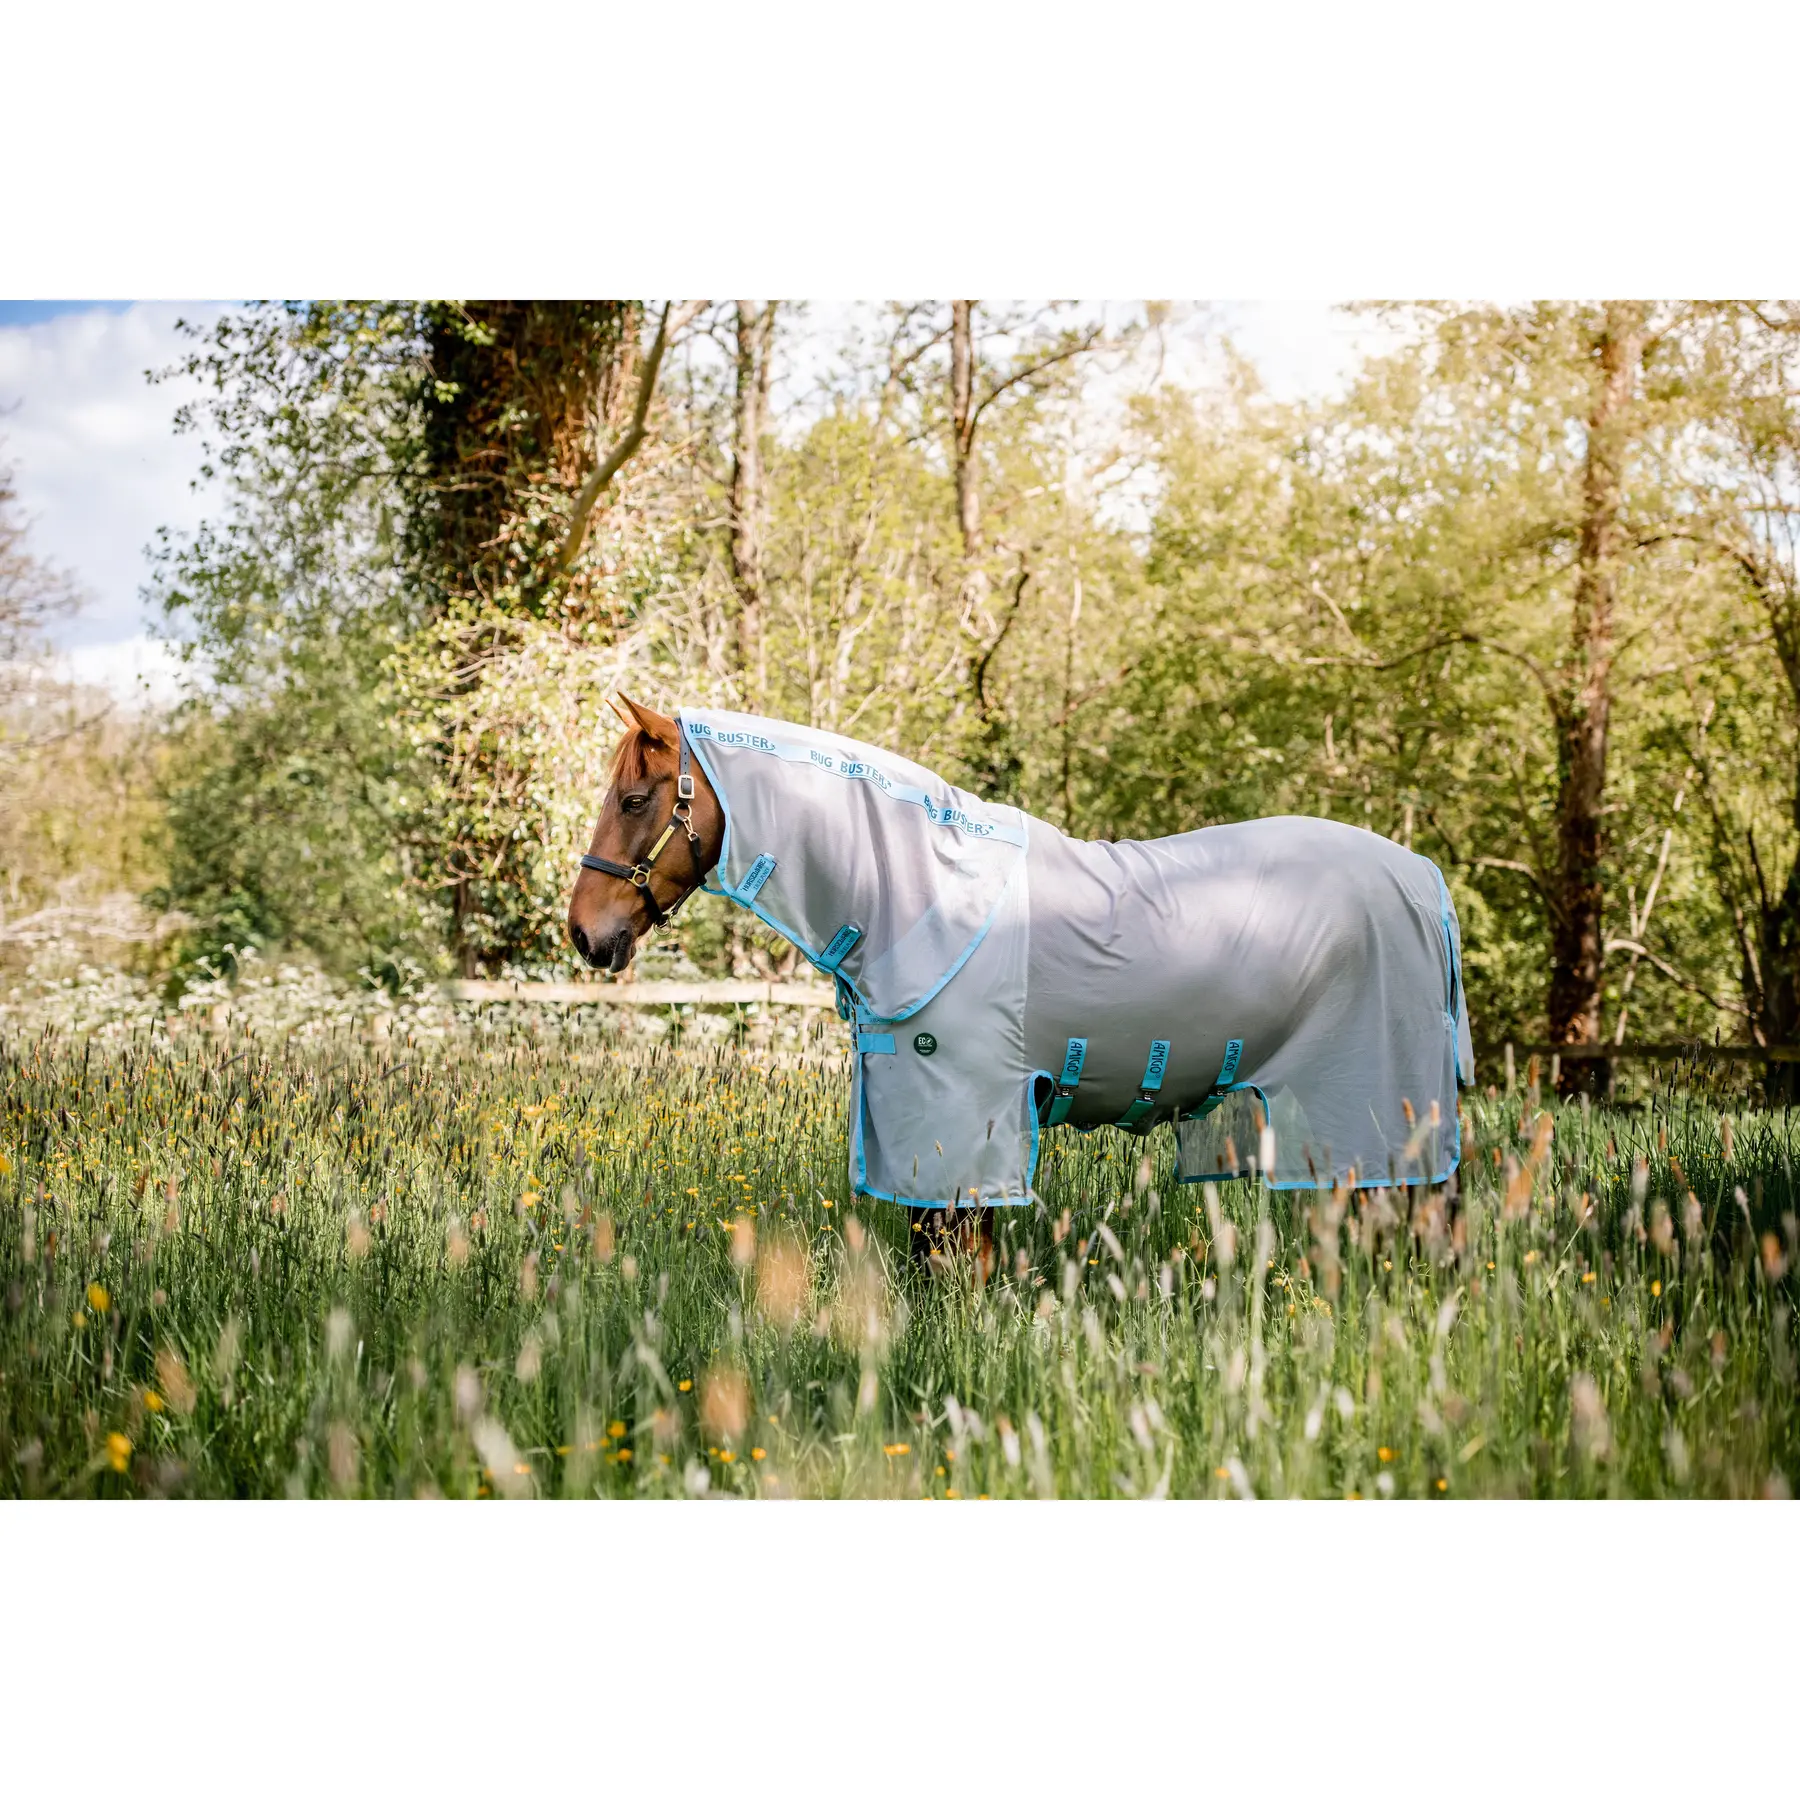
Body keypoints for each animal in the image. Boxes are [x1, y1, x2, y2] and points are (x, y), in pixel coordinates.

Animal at [569, 697, 1474, 1267]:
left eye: (636, 798)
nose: (585, 931)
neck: (923, 890)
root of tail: (1423, 878)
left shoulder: (964, 1124)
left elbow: (952, 1261)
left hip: (1373, 1112)